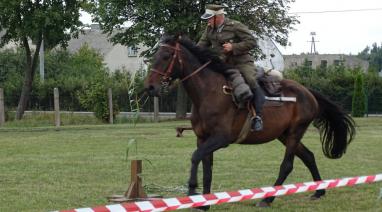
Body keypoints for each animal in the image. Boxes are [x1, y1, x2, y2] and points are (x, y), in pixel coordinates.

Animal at [144, 35, 356, 209]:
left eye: (166, 56)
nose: (150, 87)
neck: (209, 92)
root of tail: (308, 92)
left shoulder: (221, 139)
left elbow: (195, 158)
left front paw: (192, 192)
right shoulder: (203, 139)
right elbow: (207, 169)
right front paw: (205, 203)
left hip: (295, 133)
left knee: (287, 165)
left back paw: (267, 199)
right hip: (284, 135)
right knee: (309, 157)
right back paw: (319, 191)